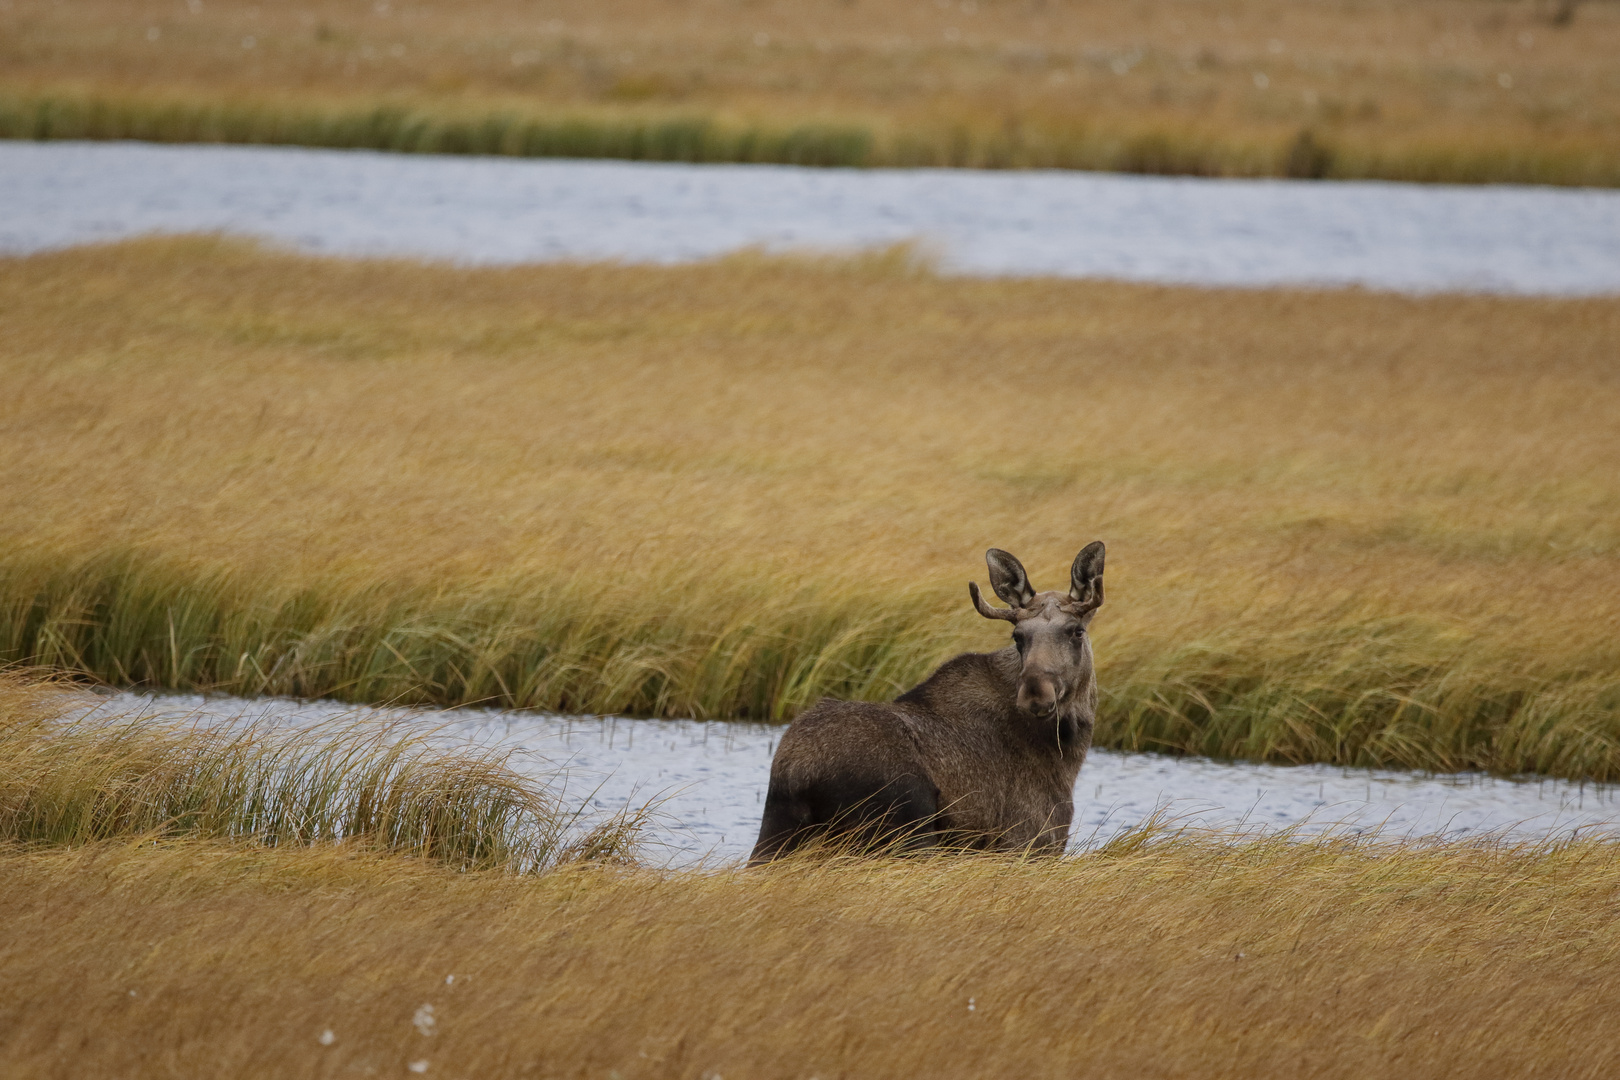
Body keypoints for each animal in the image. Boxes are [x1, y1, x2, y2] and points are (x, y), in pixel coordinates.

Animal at [751, 544, 1108, 867]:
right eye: (1018, 636)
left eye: (1076, 631)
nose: (1036, 693)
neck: (1066, 753)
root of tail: (797, 775)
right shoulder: (1027, 841)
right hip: (908, 832)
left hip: (772, 837)